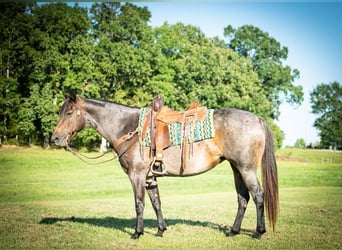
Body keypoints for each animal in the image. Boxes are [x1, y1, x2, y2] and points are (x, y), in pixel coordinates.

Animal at [52, 93, 280, 239]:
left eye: (69, 113)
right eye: (60, 112)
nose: (55, 138)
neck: (129, 128)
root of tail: (257, 119)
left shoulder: (136, 175)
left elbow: (139, 203)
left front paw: (137, 233)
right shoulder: (150, 178)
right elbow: (156, 203)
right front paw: (161, 230)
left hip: (246, 169)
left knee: (258, 196)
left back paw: (258, 232)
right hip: (236, 169)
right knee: (243, 199)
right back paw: (233, 231)